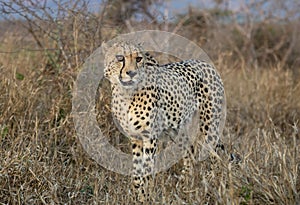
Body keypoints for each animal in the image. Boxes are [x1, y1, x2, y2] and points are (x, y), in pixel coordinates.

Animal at [104, 42, 226, 202]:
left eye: (138, 59)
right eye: (120, 58)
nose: (131, 73)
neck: (126, 93)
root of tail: (206, 64)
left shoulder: (150, 137)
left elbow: (147, 170)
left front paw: (146, 197)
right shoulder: (135, 137)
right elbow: (137, 172)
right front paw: (138, 197)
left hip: (209, 125)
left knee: (214, 155)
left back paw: (212, 184)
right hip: (177, 129)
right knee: (190, 151)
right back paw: (185, 185)